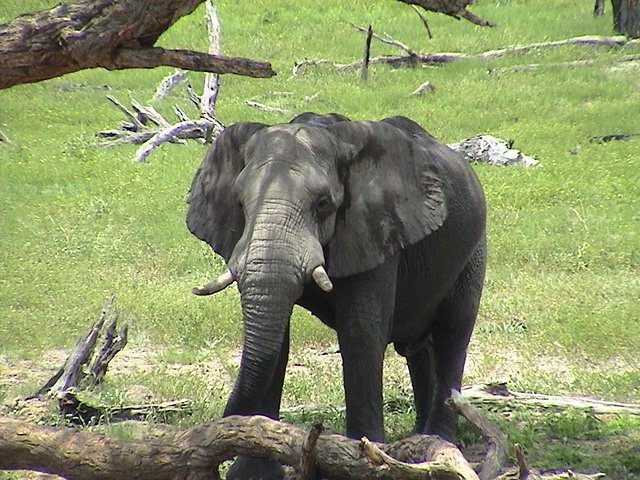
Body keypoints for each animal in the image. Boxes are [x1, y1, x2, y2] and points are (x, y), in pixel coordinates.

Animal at [186, 112, 487, 479]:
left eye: (322, 204)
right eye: (240, 204)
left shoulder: (375, 229)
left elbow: (360, 333)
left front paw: (363, 461)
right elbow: (278, 343)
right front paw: (252, 472)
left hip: (473, 251)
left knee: (452, 334)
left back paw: (439, 443)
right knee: (417, 349)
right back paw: (420, 440)